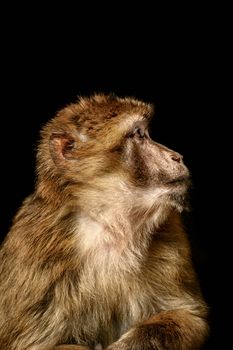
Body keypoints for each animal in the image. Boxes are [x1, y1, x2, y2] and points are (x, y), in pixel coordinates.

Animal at [0, 94, 208, 348]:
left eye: (146, 133)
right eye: (138, 135)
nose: (177, 156)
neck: (111, 225)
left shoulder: (171, 233)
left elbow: (189, 317)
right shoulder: (31, 253)